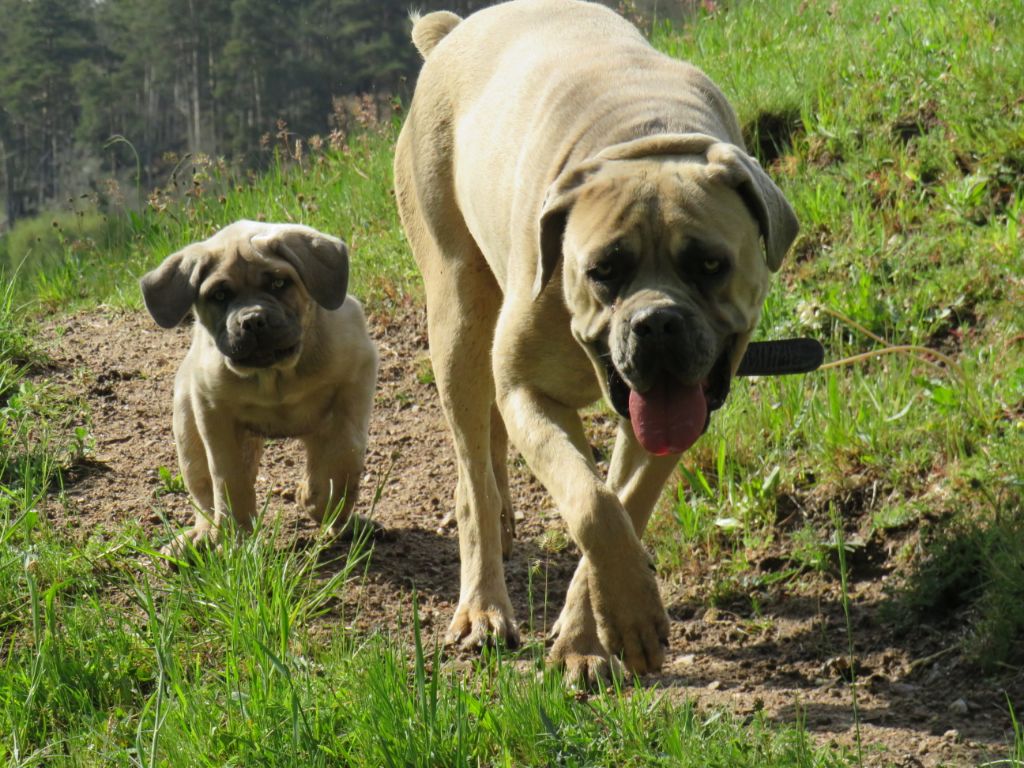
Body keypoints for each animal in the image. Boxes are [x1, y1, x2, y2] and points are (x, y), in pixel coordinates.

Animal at [143, 219, 380, 557]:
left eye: (279, 284)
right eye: (219, 295)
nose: (253, 320)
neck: (275, 376)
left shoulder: (355, 380)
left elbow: (343, 457)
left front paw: (315, 498)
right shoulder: (213, 413)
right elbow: (228, 481)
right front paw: (236, 539)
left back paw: (350, 525)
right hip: (188, 429)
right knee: (204, 495)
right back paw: (198, 537)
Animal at [393, 0, 798, 684]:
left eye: (709, 264)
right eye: (604, 269)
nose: (656, 322)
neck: (643, 140)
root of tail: (452, 32)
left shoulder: (672, 418)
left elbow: (624, 504)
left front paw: (592, 635)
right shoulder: (526, 390)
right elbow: (591, 504)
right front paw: (623, 617)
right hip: (457, 311)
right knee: (474, 467)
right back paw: (483, 604)